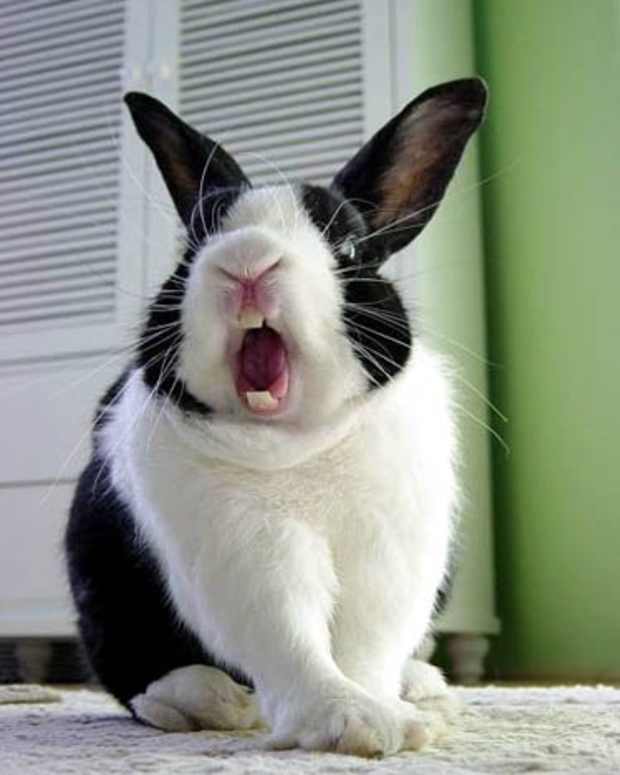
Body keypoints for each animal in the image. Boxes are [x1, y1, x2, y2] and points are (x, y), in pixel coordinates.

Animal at [64, 78, 487, 757]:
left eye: (347, 246)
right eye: (195, 247)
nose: (247, 260)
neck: (296, 442)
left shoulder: (390, 553)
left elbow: (367, 647)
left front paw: (389, 715)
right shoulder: (247, 551)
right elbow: (289, 637)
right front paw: (353, 722)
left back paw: (422, 685)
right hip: (99, 576)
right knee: (126, 666)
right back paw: (201, 699)